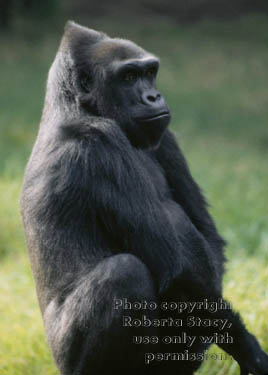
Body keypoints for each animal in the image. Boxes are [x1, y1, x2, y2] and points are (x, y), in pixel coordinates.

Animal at [21, 21, 268, 375]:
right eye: (127, 77)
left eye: (150, 72)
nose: (153, 96)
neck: (73, 104)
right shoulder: (96, 143)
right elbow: (179, 270)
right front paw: (249, 350)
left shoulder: (165, 137)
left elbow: (208, 246)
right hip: (65, 360)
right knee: (125, 273)